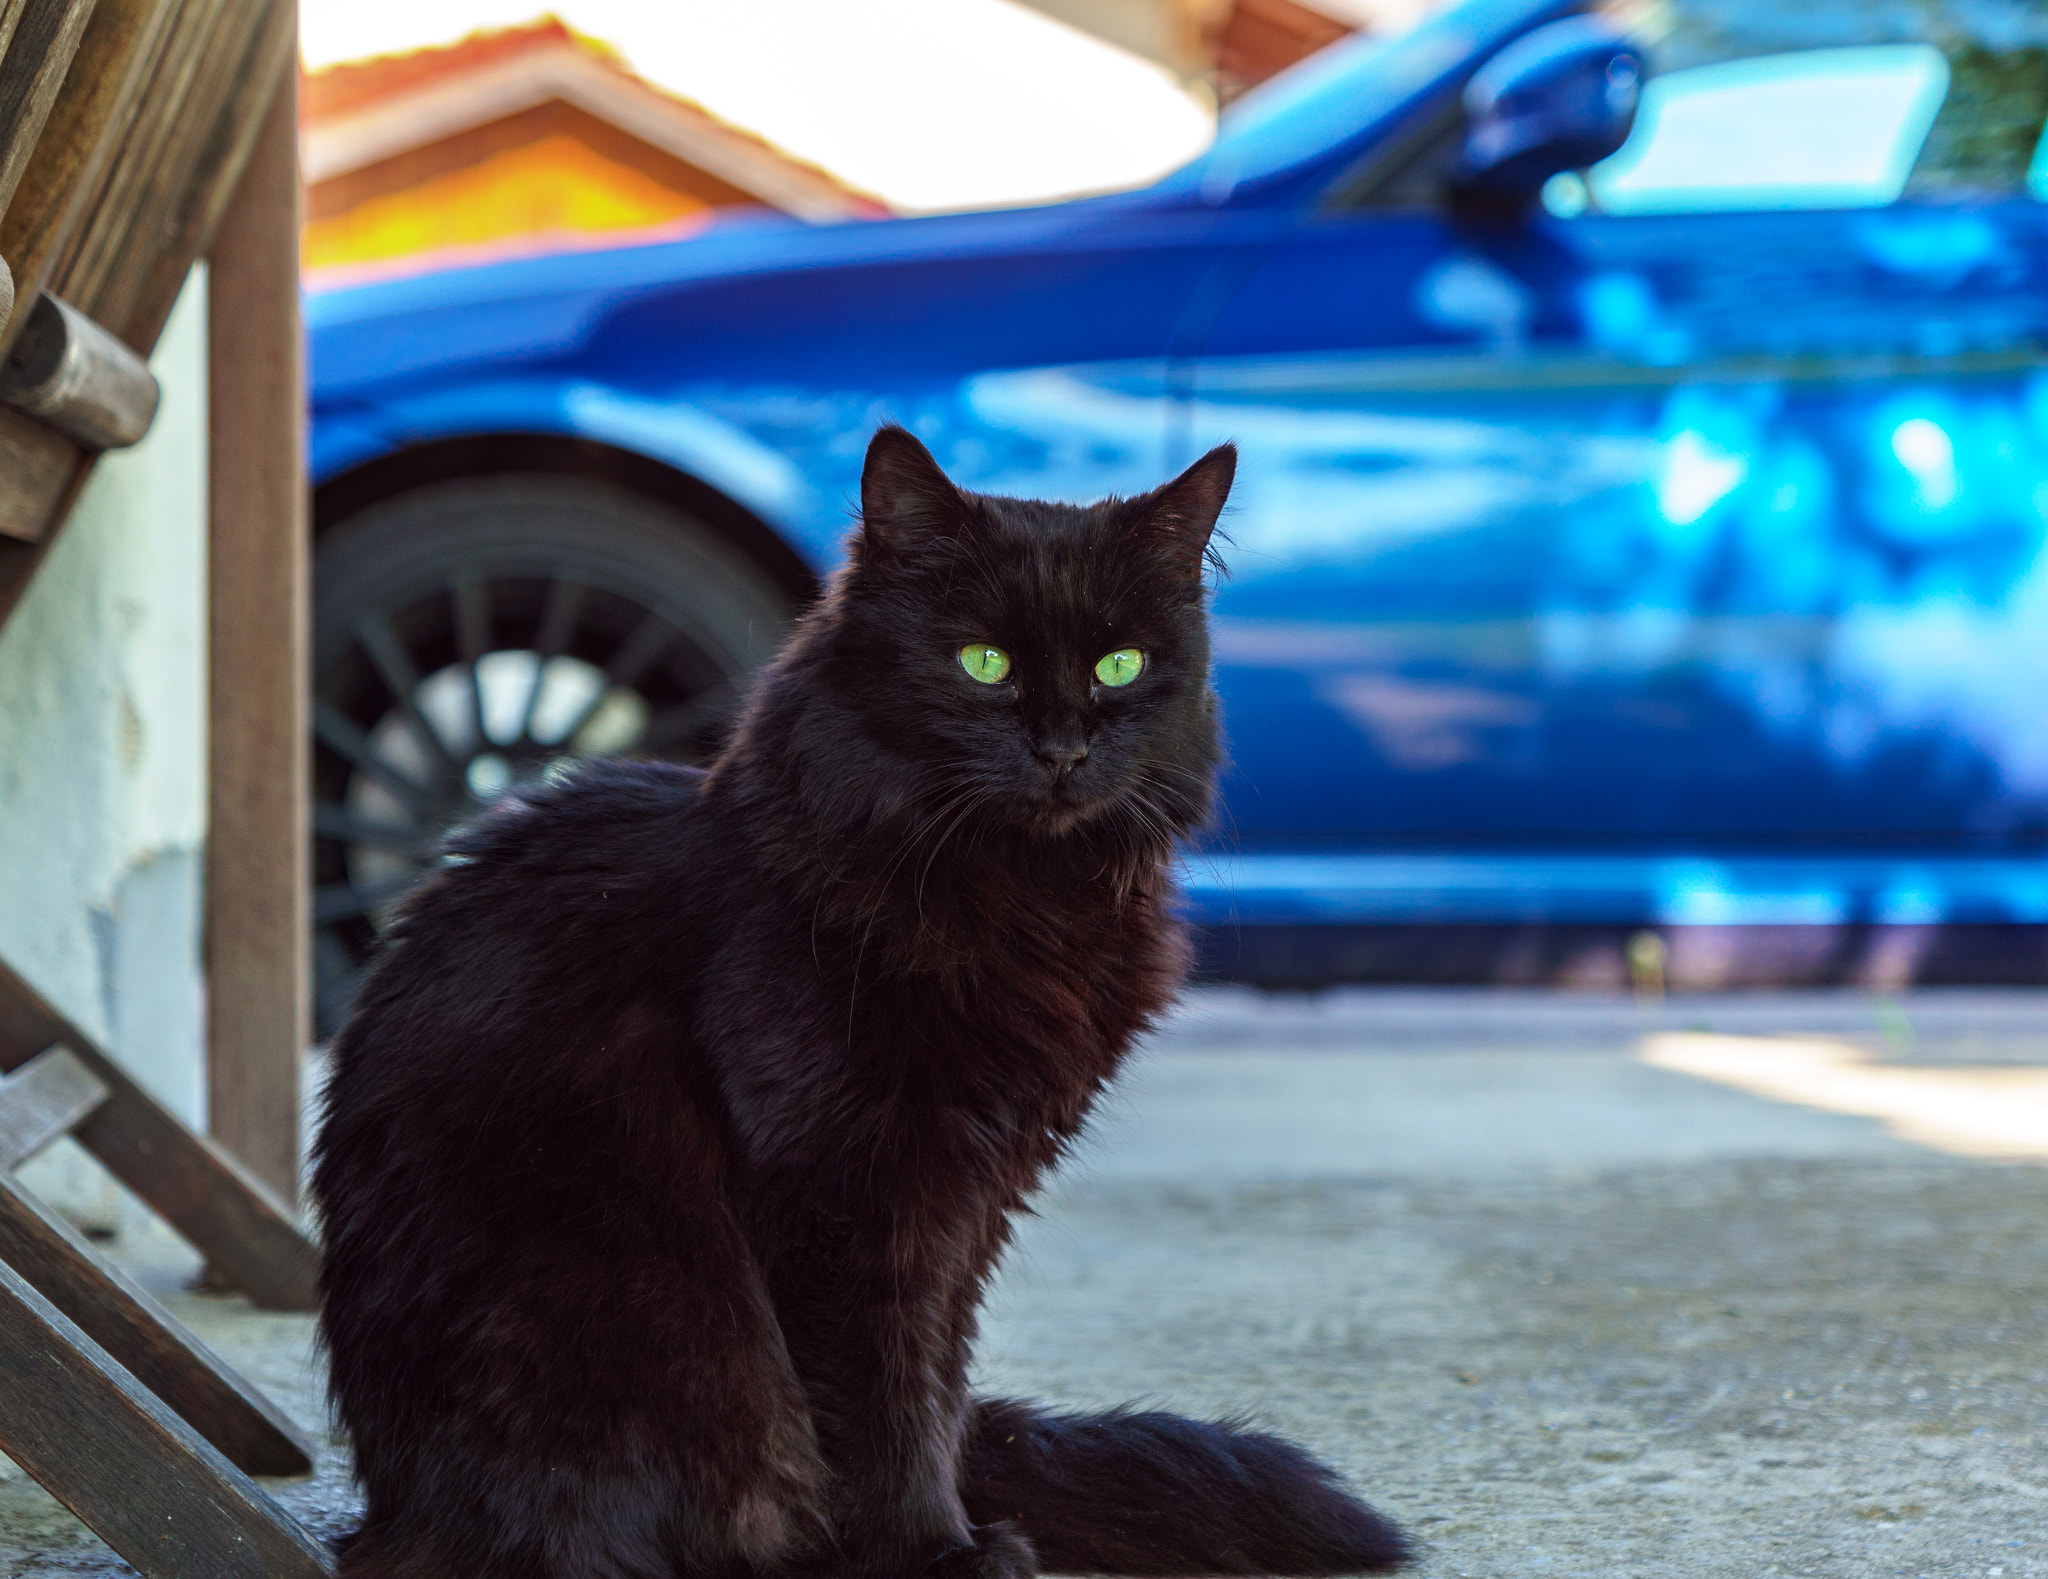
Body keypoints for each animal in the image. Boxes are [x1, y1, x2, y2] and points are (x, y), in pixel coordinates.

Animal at [315, 430, 1409, 1579]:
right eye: (984, 663)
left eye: (1120, 666)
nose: (1062, 748)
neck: (1016, 899)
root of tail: (388, 1511)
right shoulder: (843, 1194)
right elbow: (879, 1398)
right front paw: (928, 1550)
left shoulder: (970, 1199)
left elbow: (932, 1378)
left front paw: (948, 1532)